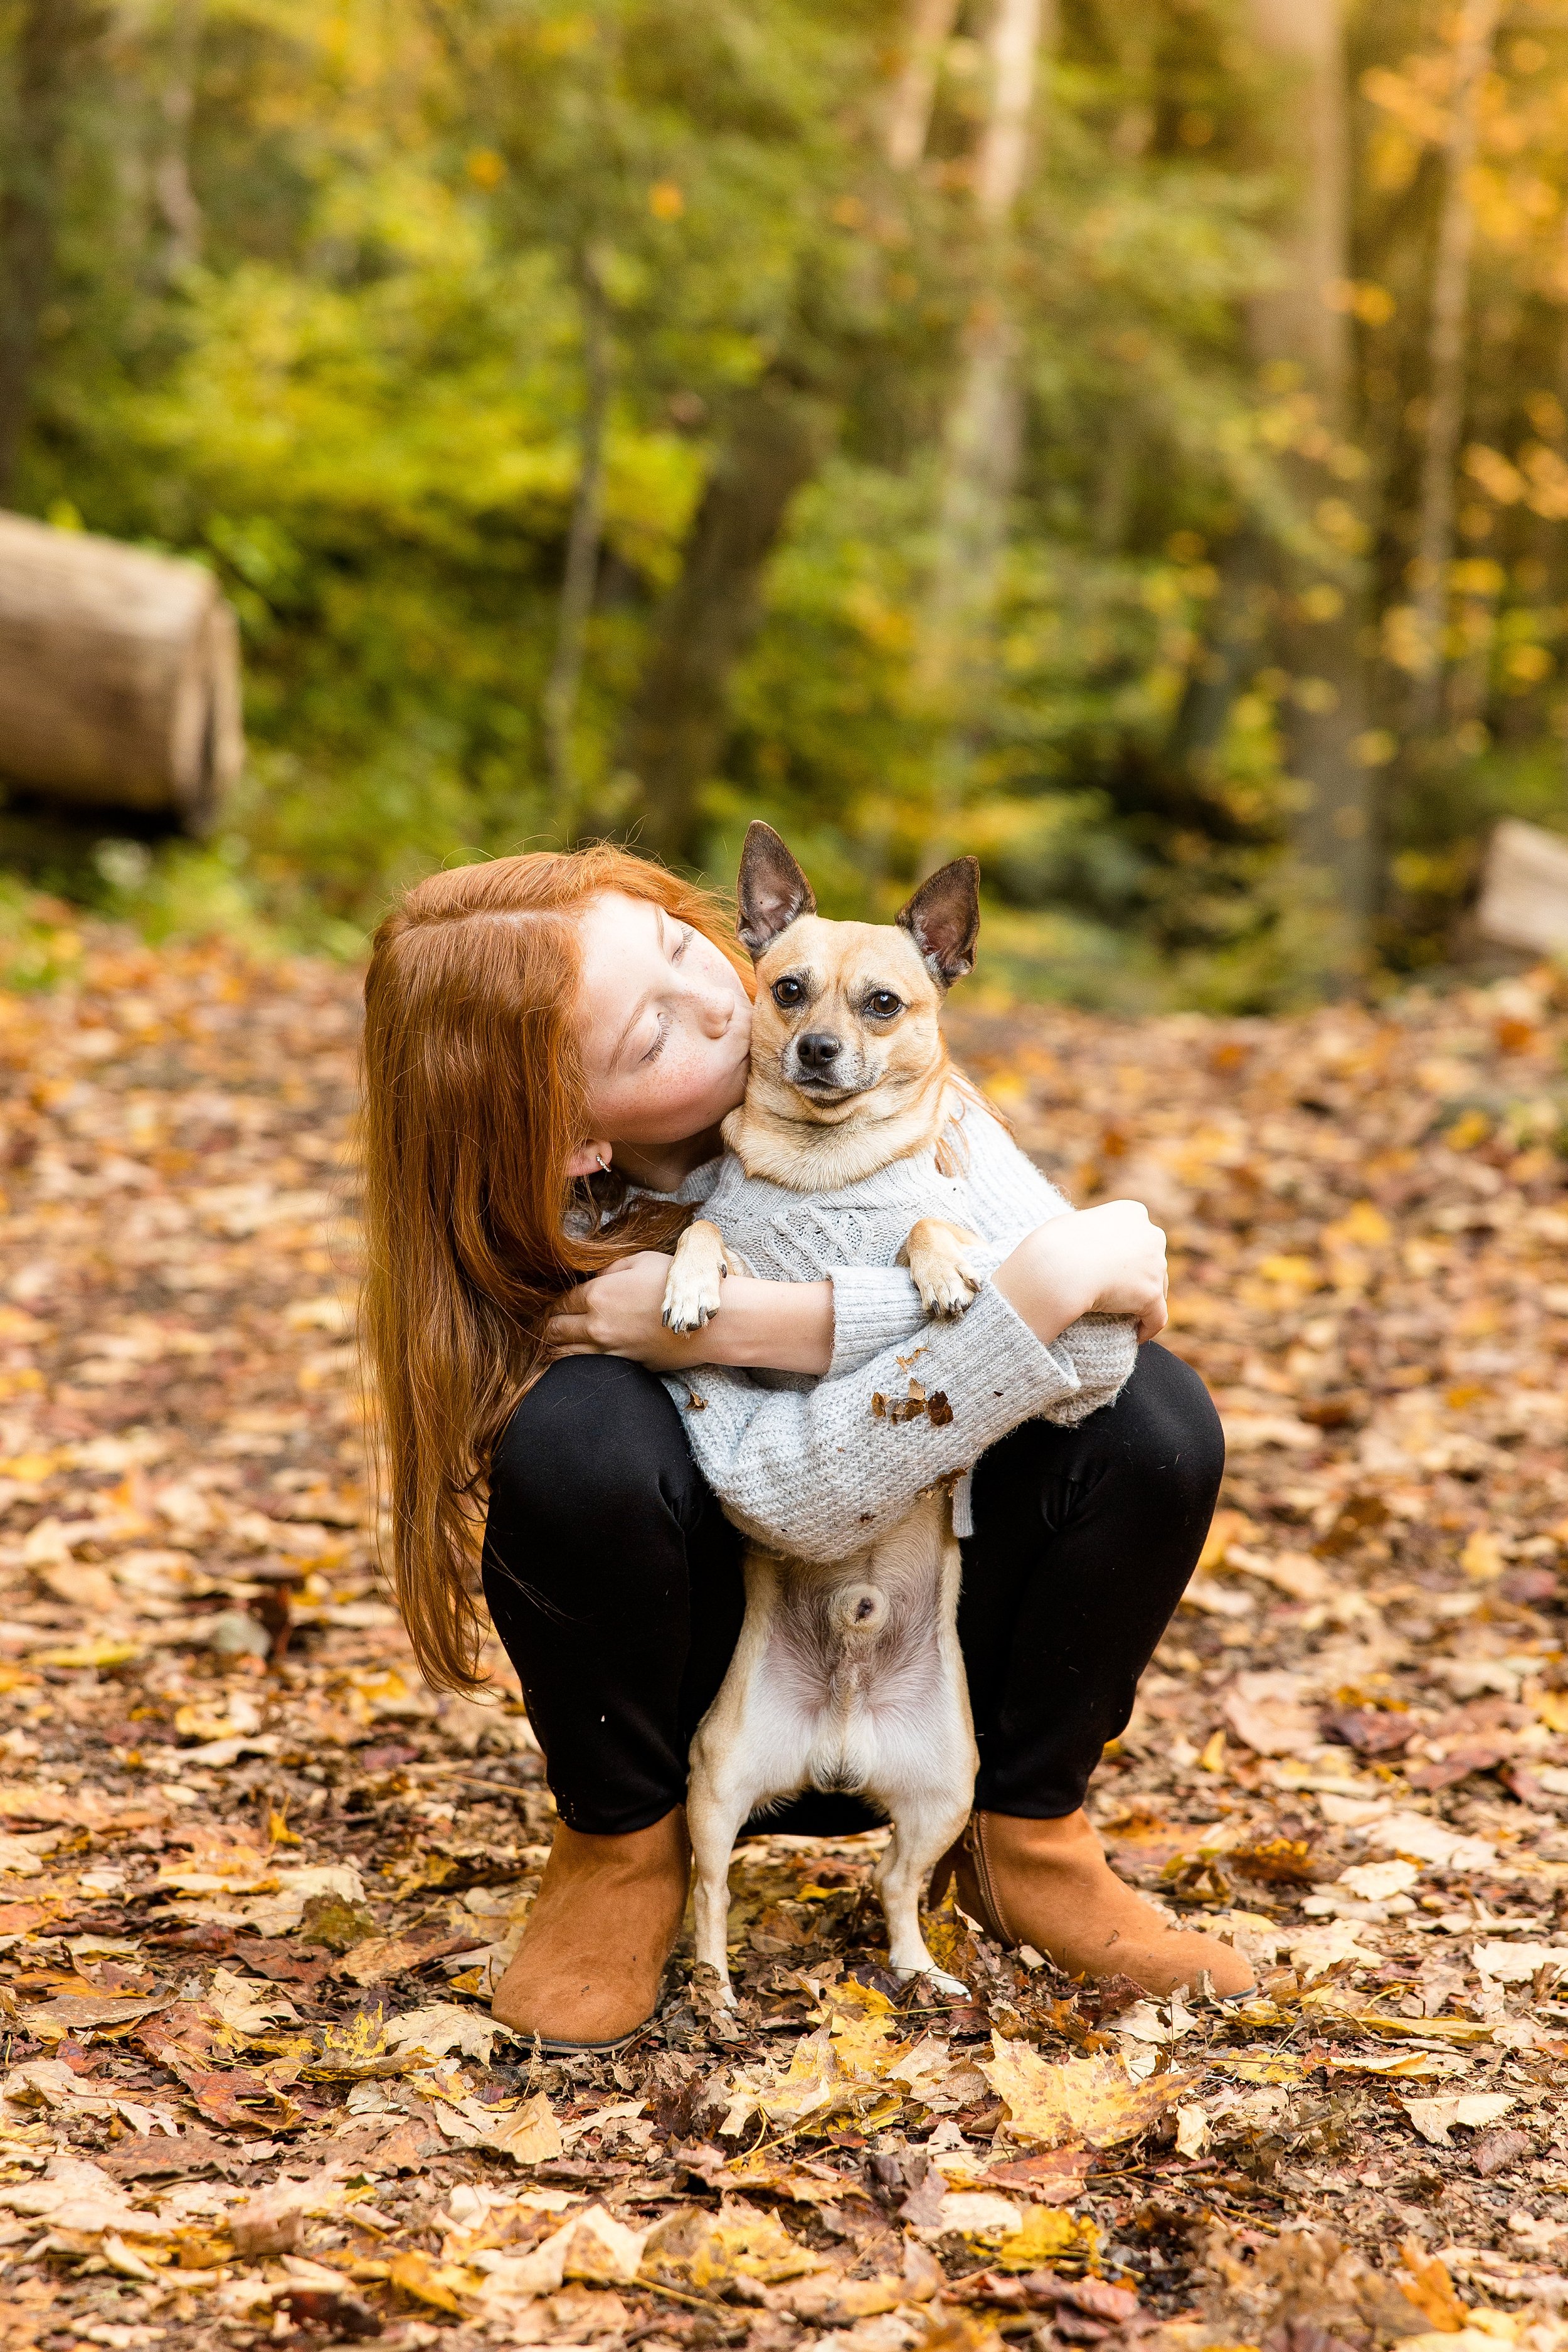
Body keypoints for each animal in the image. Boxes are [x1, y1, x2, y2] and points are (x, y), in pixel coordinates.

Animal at [658, 823, 982, 2004]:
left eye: (884, 1004)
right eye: (787, 990)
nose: (819, 1049)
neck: (822, 1169)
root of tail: (842, 1739)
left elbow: (930, 1222)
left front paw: (941, 1270)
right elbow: (706, 1233)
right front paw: (688, 1287)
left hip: (946, 1794)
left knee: (894, 1886)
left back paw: (922, 1974)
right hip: (716, 1789)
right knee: (708, 1892)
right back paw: (711, 1994)